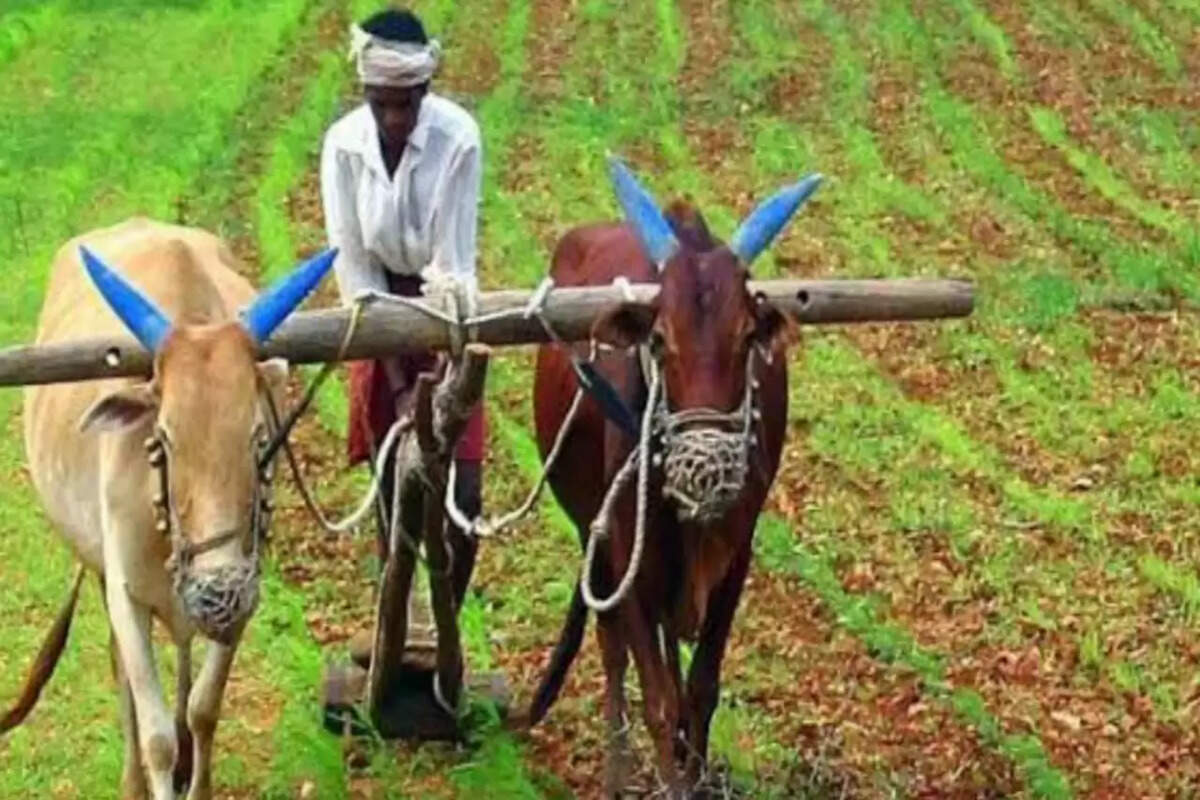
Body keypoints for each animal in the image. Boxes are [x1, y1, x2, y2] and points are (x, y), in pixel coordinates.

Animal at [3, 218, 334, 800]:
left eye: (258, 436)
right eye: (163, 438)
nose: (219, 593)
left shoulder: (246, 591)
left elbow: (203, 710)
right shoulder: (125, 596)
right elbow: (156, 736)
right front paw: (157, 764)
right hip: (98, 569)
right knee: (124, 675)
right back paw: (133, 778)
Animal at [527, 159, 821, 797]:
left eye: (746, 337)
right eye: (659, 340)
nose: (705, 472)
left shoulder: (737, 555)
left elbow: (701, 690)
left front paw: (696, 774)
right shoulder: (627, 559)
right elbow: (659, 699)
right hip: (593, 534)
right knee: (612, 650)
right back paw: (616, 770)